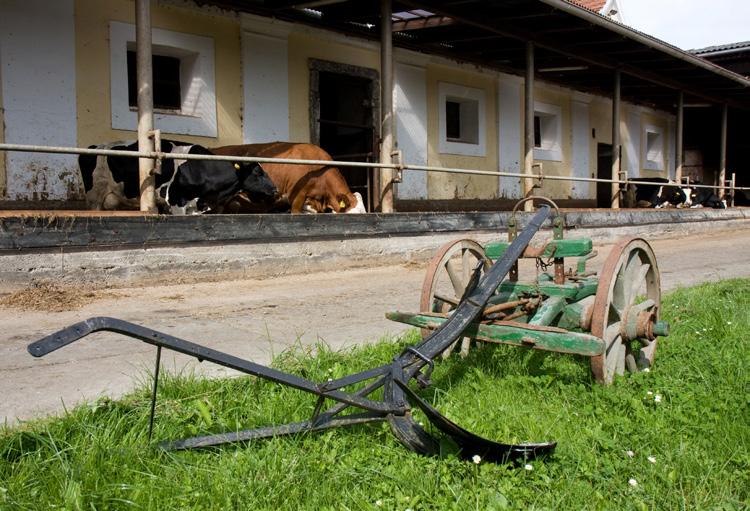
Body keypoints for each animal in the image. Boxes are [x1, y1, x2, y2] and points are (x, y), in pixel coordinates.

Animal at [78, 139, 278, 213]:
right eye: (257, 172)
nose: (275, 189)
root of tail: (94, 146)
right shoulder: (176, 201)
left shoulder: (196, 207)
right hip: (94, 198)